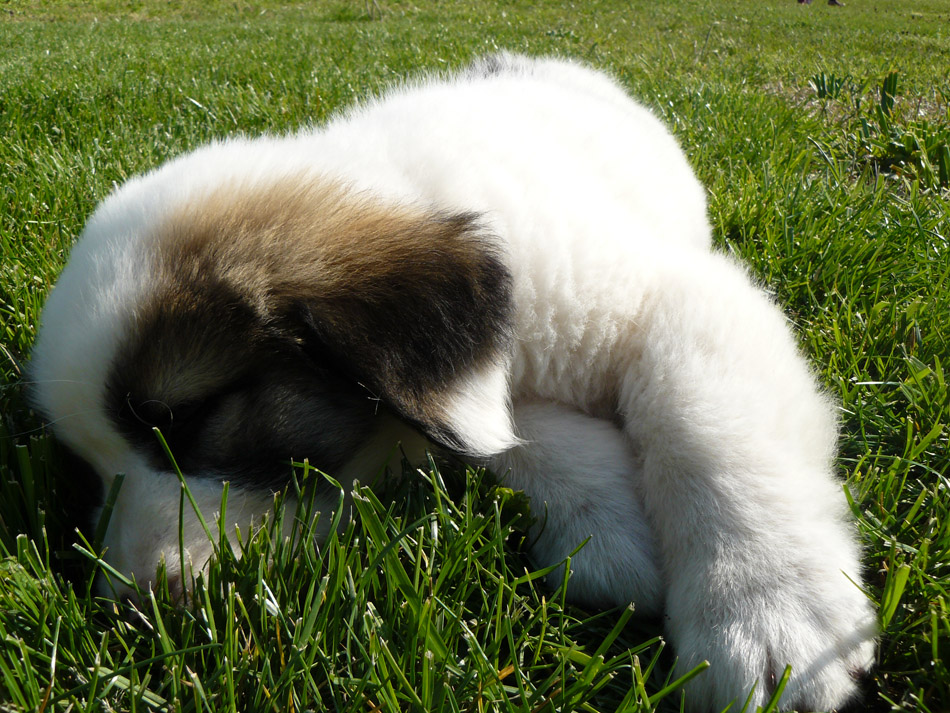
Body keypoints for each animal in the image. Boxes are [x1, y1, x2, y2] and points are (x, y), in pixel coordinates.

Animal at [29, 54, 876, 711]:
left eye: (189, 418)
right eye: (87, 471)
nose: (131, 614)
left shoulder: (670, 297)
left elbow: (705, 423)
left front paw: (770, 614)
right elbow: (500, 433)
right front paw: (605, 528)